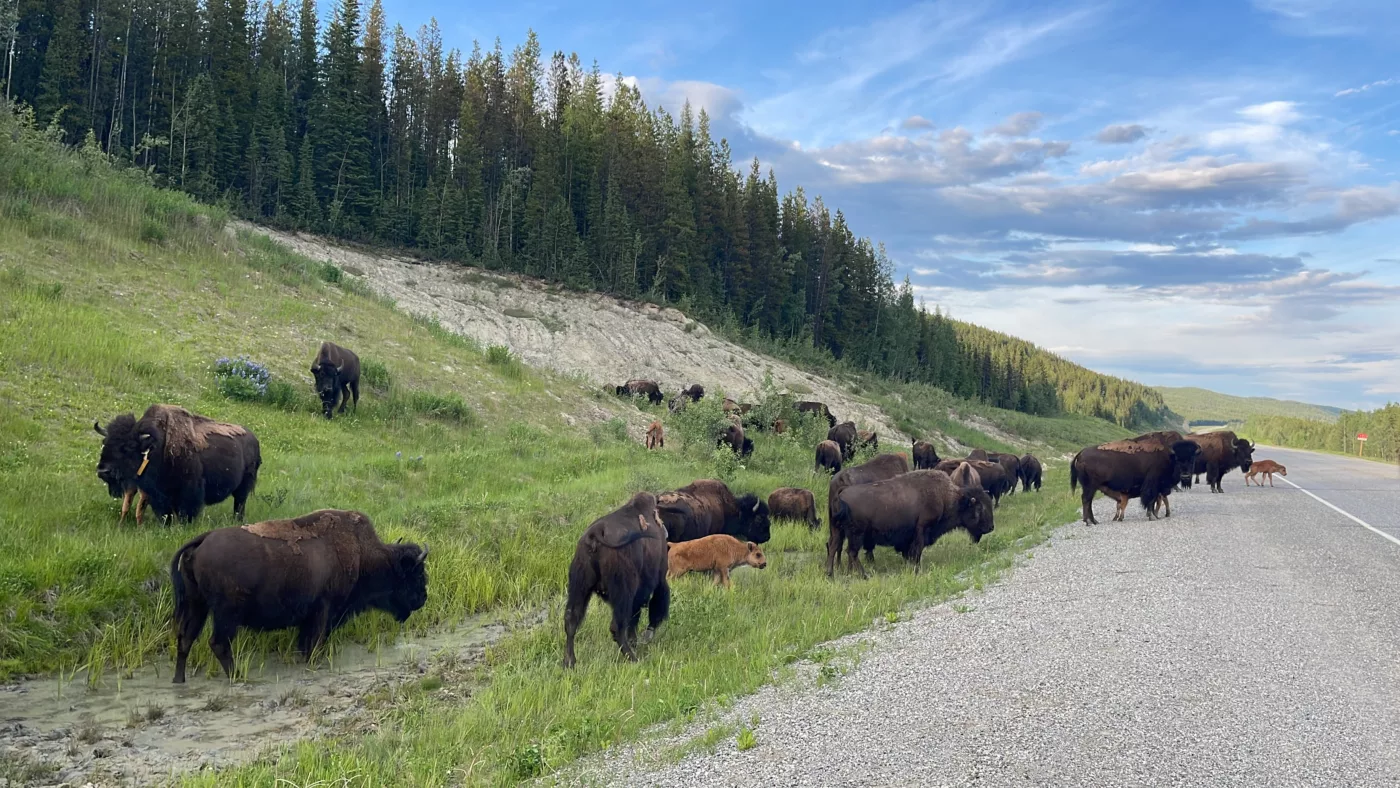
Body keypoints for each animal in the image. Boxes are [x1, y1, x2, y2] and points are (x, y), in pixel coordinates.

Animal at [100, 405, 263, 523]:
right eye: (105, 442)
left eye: (128, 447)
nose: (103, 471)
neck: (156, 447)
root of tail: (254, 439)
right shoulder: (158, 494)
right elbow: (165, 513)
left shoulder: (188, 491)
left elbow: (186, 511)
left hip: (243, 487)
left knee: (239, 503)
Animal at [167, 512, 425, 685]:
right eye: (416, 573)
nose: (423, 598)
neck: (363, 554)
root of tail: (203, 540)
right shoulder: (324, 611)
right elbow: (315, 641)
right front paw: (314, 663)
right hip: (226, 614)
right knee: (218, 643)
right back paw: (239, 677)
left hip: (198, 605)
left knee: (186, 638)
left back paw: (179, 679)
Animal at [560, 495, 669, 669]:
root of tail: (595, 534)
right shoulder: (657, 580)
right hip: (623, 592)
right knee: (617, 627)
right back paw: (633, 658)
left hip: (579, 587)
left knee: (571, 620)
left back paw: (569, 662)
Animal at [828, 467, 996, 579]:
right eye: (980, 507)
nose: (991, 527)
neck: (946, 497)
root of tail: (842, 492)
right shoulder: (921, 530)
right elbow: (917, 551)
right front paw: (916, 569)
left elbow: (909, 553)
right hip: (856, 534)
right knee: (851, 552)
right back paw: (863, 575)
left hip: (837, 530)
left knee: (834, 547)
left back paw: (831, 574)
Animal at [1069, 442, 1204, 526]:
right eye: (1178, 459)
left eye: (1192, 459)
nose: (1185, 476)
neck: (1168, 458)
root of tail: (1080, 454)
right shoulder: (1152, 487)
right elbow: (1150, 501)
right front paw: (1152, 517)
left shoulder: (1156, 489)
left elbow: (1154, 502)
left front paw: (1154, 516)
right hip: (1090, 487)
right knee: (1086, 500)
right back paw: (1088, 522)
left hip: (1091, 487)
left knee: (1088, 501)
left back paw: (1094, 521)